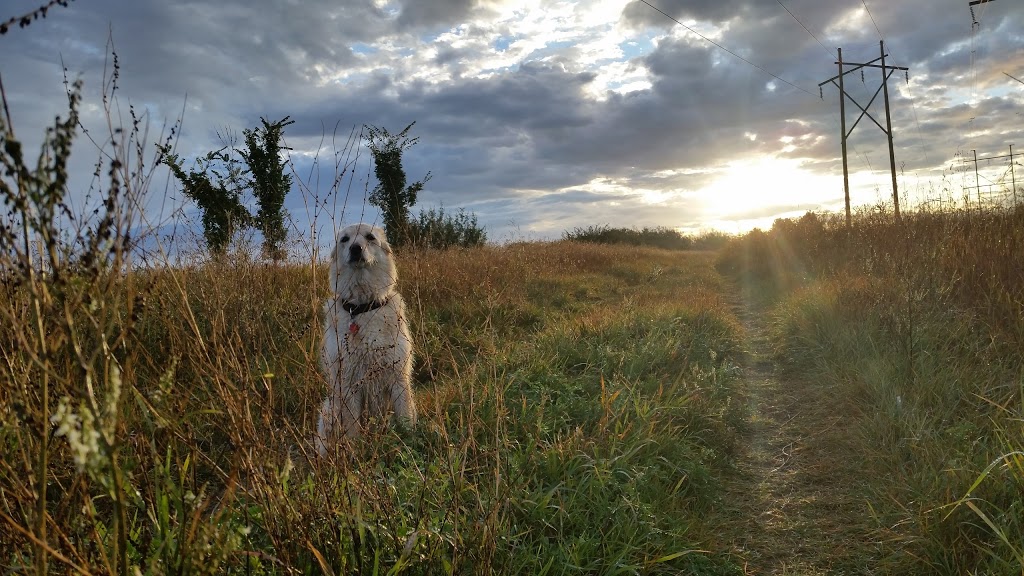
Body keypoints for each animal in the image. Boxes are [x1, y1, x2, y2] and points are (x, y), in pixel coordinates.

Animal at [317, 222, 417, 450]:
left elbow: (405, 418)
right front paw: (354, 450)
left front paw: (411, 441)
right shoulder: (348, 383)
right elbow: (353, 428)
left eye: (370, 237)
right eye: (344, 239)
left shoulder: (399, 376)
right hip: (329, 409)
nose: (356, 248)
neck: (363, 306)